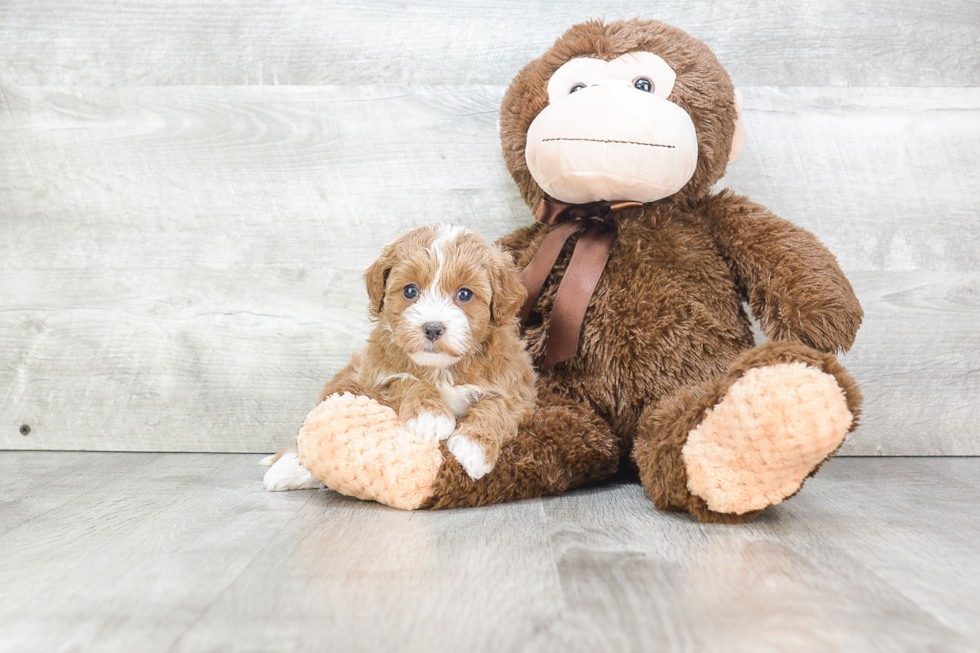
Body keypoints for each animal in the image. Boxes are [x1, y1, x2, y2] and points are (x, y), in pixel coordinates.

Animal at [266, 224, 536, 488]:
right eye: (410, 290)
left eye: (465, 295)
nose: (433, 328)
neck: (441, 368)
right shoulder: (375, 375)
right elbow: (405, 380)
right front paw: (430, 416)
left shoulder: (518, 387)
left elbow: (497, 405)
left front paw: (474, 447)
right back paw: (286, 469)